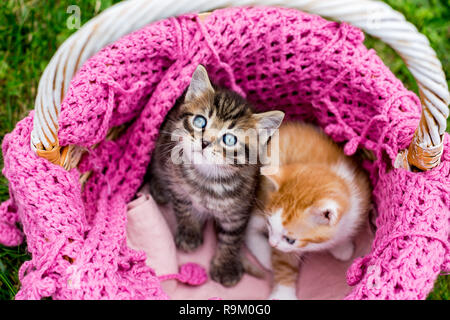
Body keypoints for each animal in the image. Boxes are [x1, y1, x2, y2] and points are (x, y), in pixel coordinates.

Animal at [146, 63, 284, 286]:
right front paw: (189, 233)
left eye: (229, 139)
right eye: (200, 121)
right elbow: (183, 209)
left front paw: (226, 265)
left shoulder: (239, 208)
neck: (207, 178)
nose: (204, 142)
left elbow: (232, 236)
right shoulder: (178, 187)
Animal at [246, 122, 370, 300]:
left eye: (290, 239)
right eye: (270, 225)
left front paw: (341, 246)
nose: (272, 243)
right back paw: (264, 255)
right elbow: (284, 262)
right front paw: (283, 293)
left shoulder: (360, 199)